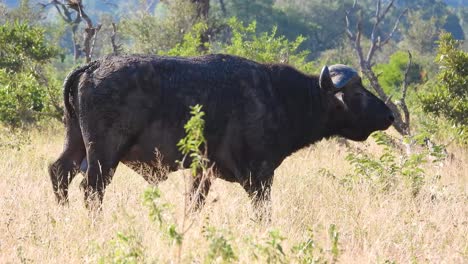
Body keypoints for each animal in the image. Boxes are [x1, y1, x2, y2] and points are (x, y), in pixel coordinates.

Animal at [49, 54, 394, 213]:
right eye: (358, 93)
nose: (389, 115)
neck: (280, 96)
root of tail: (92, 66)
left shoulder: (202, 172)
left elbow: (194, 205)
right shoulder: (259, 176)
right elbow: (263, 212)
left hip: (75, 144)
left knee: (58, 172)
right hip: (104, 155)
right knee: (91, 189)